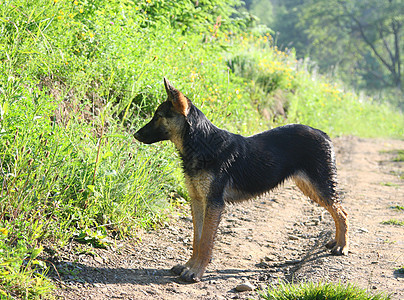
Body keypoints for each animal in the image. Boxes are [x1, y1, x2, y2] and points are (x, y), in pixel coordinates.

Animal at [134, 77, 348, 282]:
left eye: (158, 116)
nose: (135, 135)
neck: (202, 143)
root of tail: (323, 134)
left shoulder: (214, 203)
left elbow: (206, 242)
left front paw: (196, 271)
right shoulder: (197, 201)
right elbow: (197, 238)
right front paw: (189, 265)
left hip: (319, 186)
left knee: (342, 213)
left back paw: (342, 246)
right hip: (309, 187)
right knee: (338, 211)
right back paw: (336, 241)